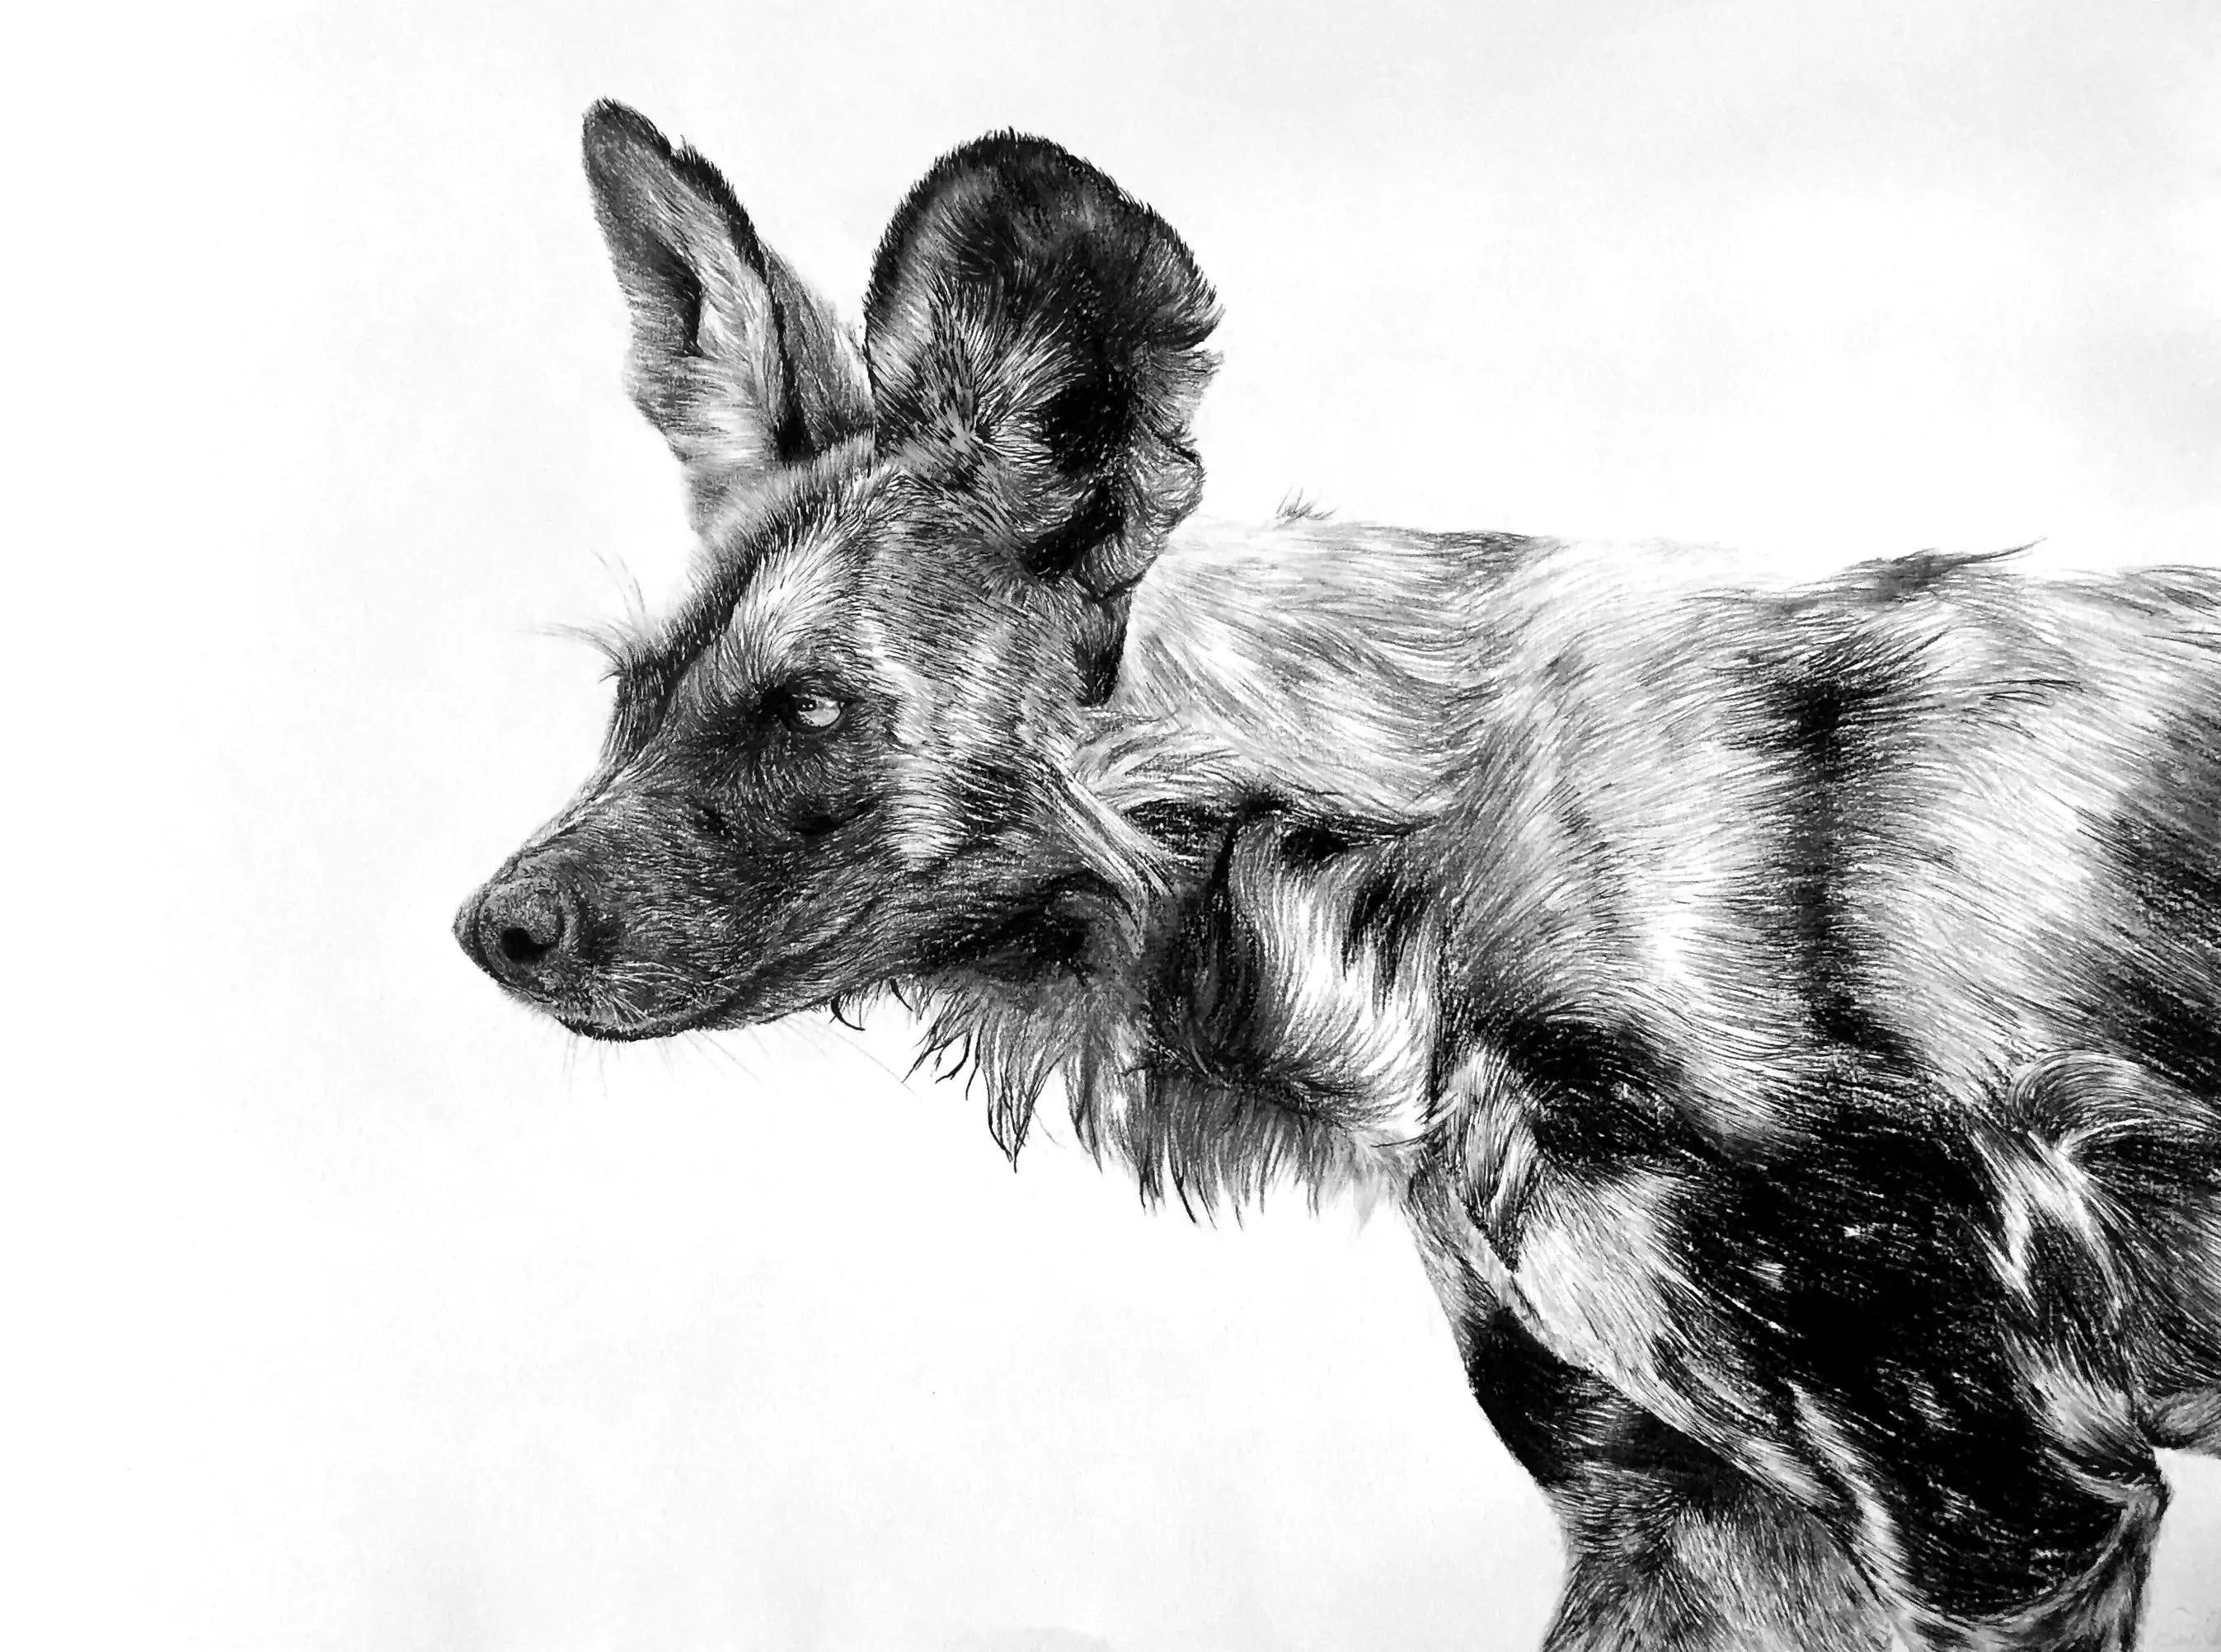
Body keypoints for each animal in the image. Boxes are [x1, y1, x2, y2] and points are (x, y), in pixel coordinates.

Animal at [456, 102, 2221, 1650]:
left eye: (806, 709)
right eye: (630, 694)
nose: (493, 928)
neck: (1401, 878)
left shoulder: (2005, 1514)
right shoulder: (1700, 1517)